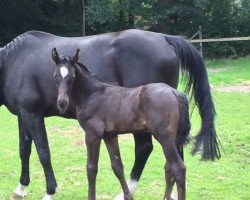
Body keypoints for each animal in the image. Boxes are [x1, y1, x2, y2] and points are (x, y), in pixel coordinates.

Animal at [51, 48, 190, 200]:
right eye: (55, 76)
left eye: (72, 77)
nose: (62, 103)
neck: (92, 94)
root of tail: (174, 91)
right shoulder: (109, 136)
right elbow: (117, 166)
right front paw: (128, 196)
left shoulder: (92, 134)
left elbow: (91, 168)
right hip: (174, 139)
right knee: (169, 167)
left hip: (165, 137)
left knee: (178, 168)